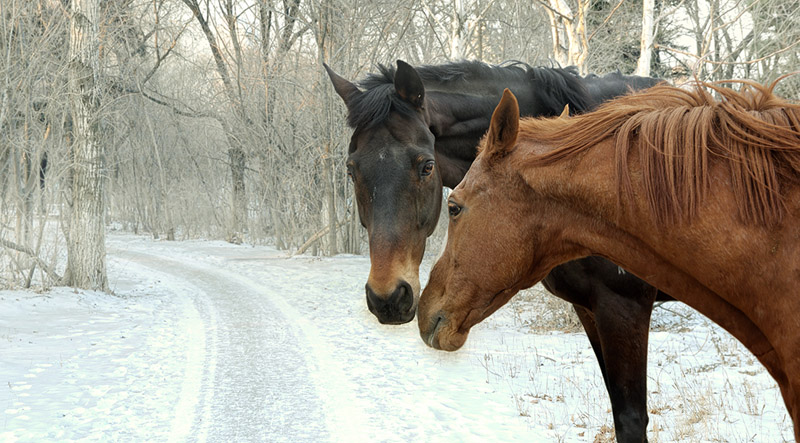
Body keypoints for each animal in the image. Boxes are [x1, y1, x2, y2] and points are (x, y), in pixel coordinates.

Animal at [324, 59, 664, 443]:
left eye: (427, 165)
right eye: (351, 170)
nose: (388, 297)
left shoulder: (624, 307)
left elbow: (630, 419)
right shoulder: (590, 308)